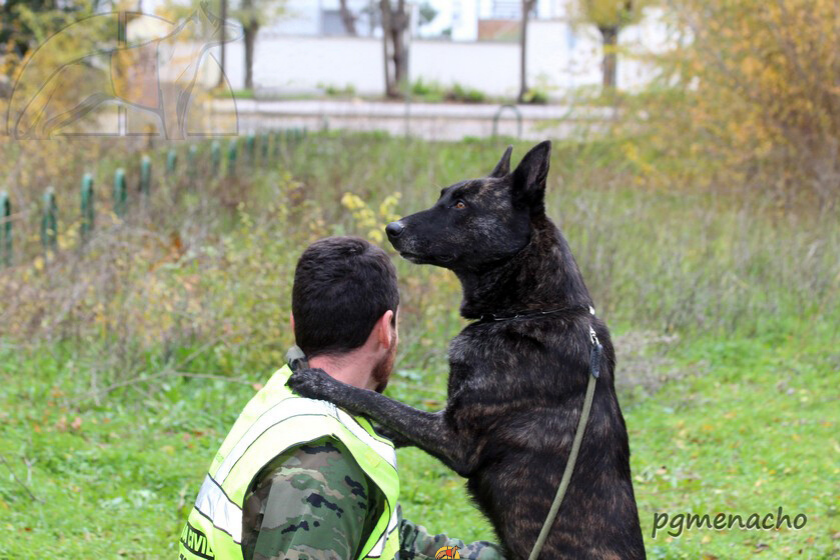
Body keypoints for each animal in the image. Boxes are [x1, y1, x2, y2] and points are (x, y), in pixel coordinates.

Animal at [286, 141, 648, 560]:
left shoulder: (456, 440)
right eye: (443, 196)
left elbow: (376, 400)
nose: (392, 229)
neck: (526, 311)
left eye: (461, 205)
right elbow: (387, 418)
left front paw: (321, 382)